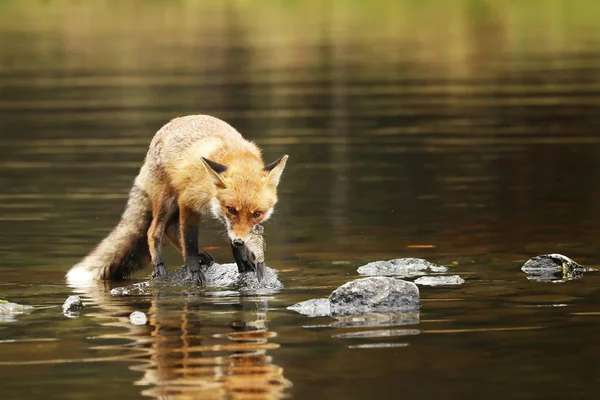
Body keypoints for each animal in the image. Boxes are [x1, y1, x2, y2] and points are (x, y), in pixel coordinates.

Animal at [65, 114, 288, 286]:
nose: (240, 240)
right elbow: (189, 241)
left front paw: (242, 259)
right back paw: (160, 267)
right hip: (167, 200)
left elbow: (229, 238)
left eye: (257, 214)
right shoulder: (188, 203)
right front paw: (193, 270)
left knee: (170, 229)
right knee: (154, 231)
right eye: (232, 209)